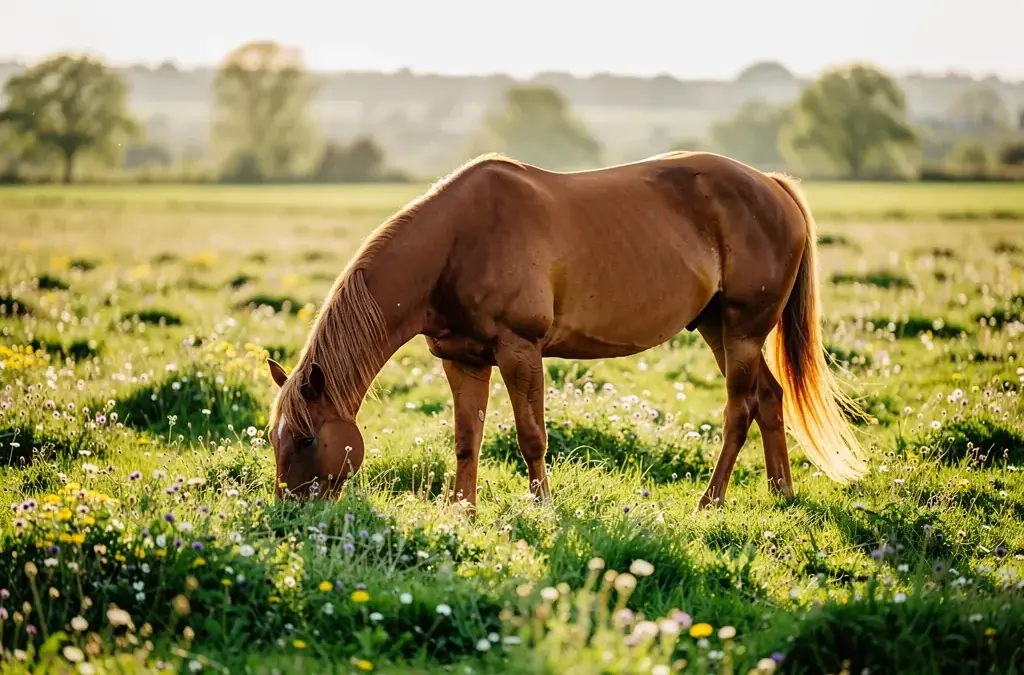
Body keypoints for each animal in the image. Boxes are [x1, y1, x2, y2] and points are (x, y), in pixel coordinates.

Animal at [265, 150, 870, 512]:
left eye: (305, 438)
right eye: (274, 437)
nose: (292, 515)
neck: (456, 244)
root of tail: (773, 186)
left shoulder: (520, 351)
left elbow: (532, 436)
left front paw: (542, 506)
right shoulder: (462, 358)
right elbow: (466, 439)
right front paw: (462, 510)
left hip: (742, 331)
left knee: (739, 410)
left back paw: (711, 501)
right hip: (717, 328)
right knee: (770, 397)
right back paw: (781, 492)